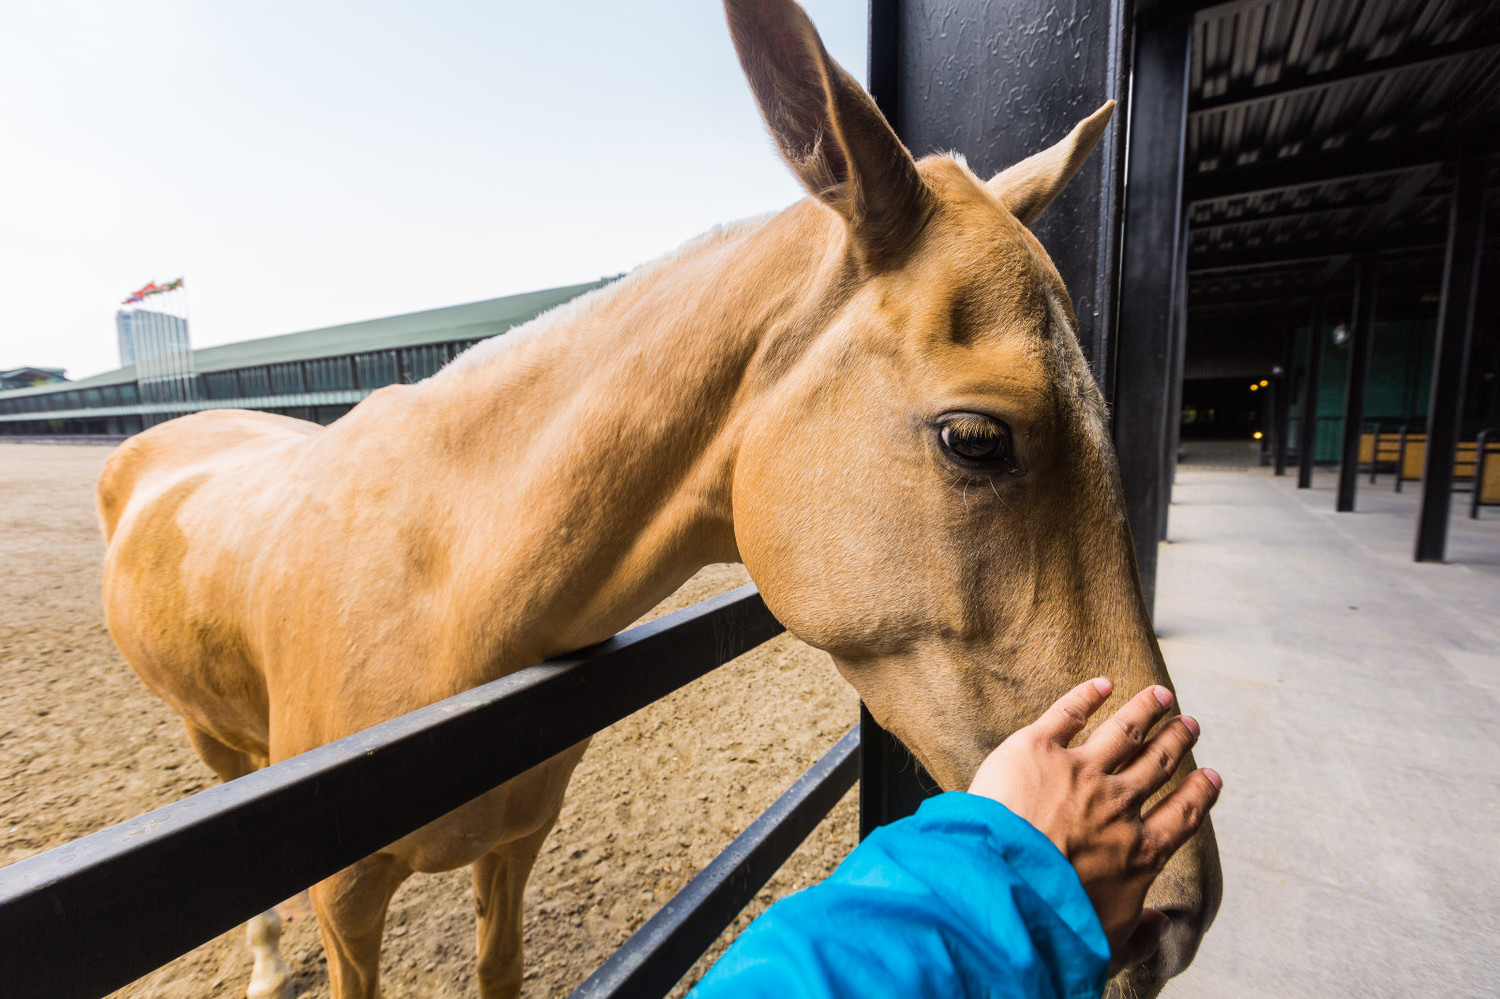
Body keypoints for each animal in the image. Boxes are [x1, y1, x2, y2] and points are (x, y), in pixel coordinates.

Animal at [93, 1, 1218, 996]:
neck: (436, 592)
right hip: (210, 743)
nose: (1179, 914)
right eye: (977, 439)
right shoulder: (346, 899)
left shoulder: (514, 843)